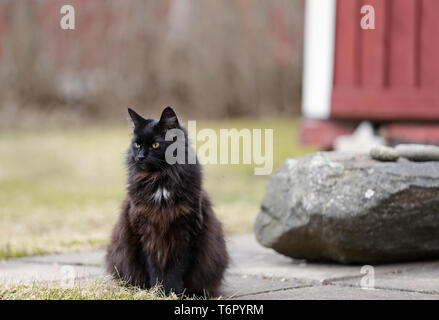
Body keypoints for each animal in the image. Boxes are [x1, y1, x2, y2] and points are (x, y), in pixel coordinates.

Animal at [106, 106, 229, 296]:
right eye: (137, 144)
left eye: (155, 145)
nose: (140, 157)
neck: (160, 181)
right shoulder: (144, 230)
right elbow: (154, 267)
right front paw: (156, 290)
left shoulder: (185, 229)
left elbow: (175, 269)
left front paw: (172, 292)